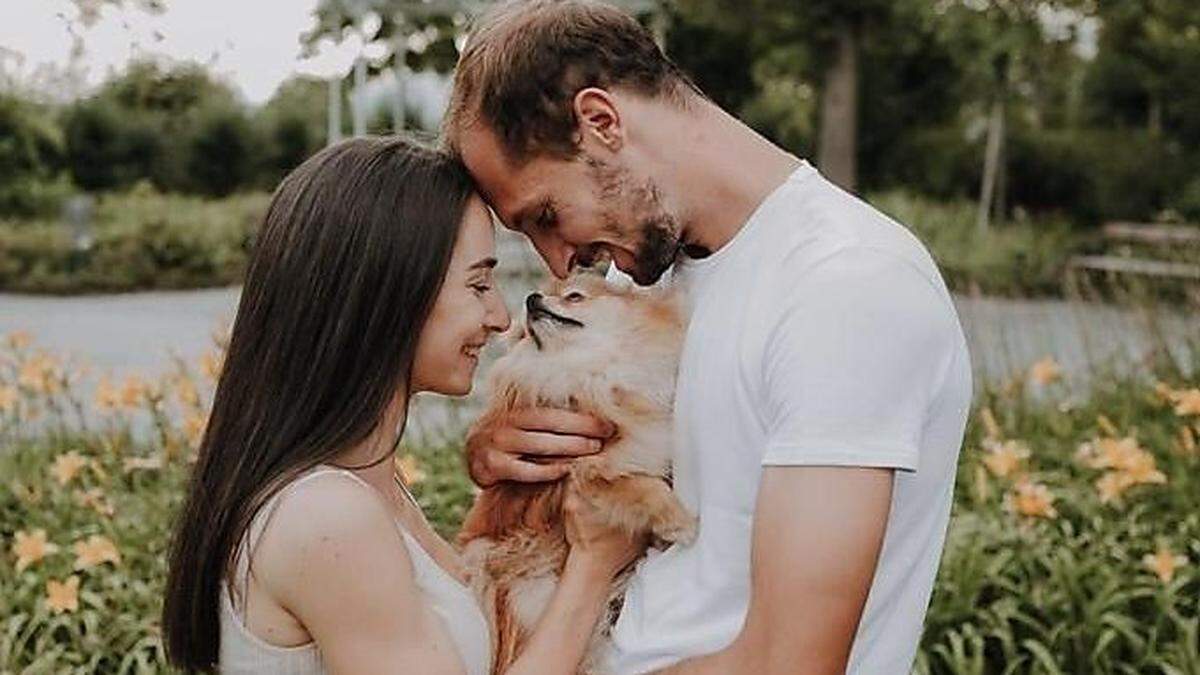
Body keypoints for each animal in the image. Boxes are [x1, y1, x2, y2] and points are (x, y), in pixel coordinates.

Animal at [460, 273, 700, 672]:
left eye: (574, 297)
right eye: (526, 332)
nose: (531, 299)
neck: (588, 371)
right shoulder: (583, 473)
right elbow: (640, 487)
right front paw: (679, 522)